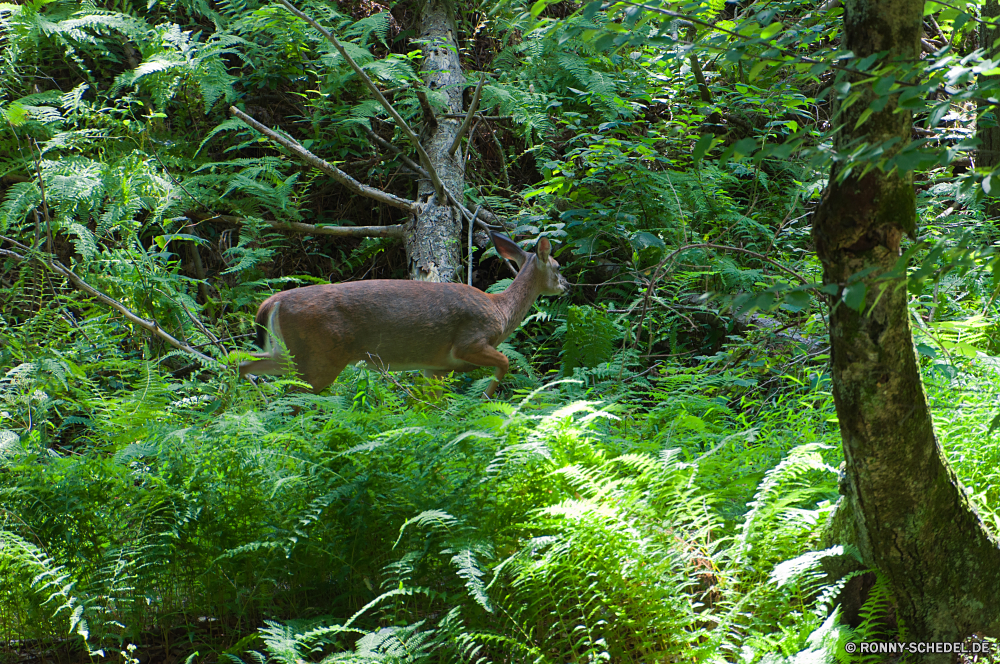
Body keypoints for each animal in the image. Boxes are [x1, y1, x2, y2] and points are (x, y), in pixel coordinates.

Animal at [241, 233, 568, 396]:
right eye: (557, 266)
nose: (567, 285)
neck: (500, 310)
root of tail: (272, 302)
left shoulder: (435, 367)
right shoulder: (470, 341)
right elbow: (505, 363)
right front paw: (486, 399)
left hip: (290, 352)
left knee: (243, 363)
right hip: (320, 356)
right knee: (293, 395)